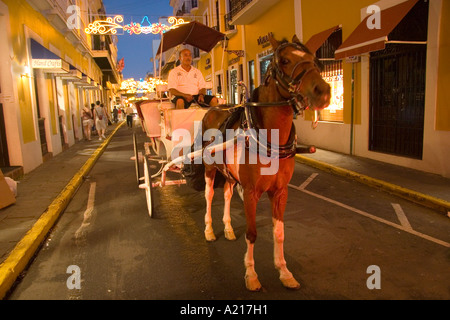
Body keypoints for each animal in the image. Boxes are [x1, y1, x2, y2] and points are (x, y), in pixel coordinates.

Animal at [186, 33, 330, 292]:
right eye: (284, 60)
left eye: (313, 58)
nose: (322, 90)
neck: (269, 137)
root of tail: (212, 109)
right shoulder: (251, 192)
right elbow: (252, 233)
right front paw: (252, 275)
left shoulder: (280, 191)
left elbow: (279, 232)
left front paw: (284, 272)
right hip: (210, 169)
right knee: (210, 196)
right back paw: (210, 230)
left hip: (230, 174)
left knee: (227, 194)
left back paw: (228, 228)